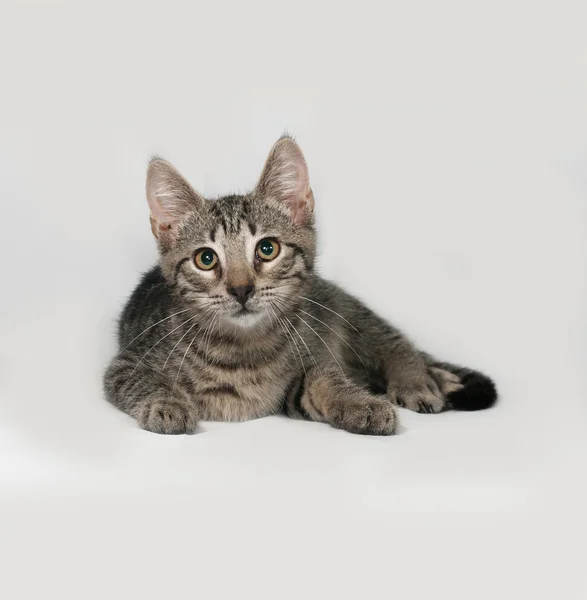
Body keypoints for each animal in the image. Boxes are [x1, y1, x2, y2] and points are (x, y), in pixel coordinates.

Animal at [104, 136, 496, 436]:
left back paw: (420, 380)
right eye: (206, 259)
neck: (243, 349)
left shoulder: (302, 366)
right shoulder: (125, 365)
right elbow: (145, 381)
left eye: (267, 249)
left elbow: (325, 379)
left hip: (346, 312)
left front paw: (358, 402)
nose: (241, 289)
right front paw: (167, 403)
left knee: (395, 341)